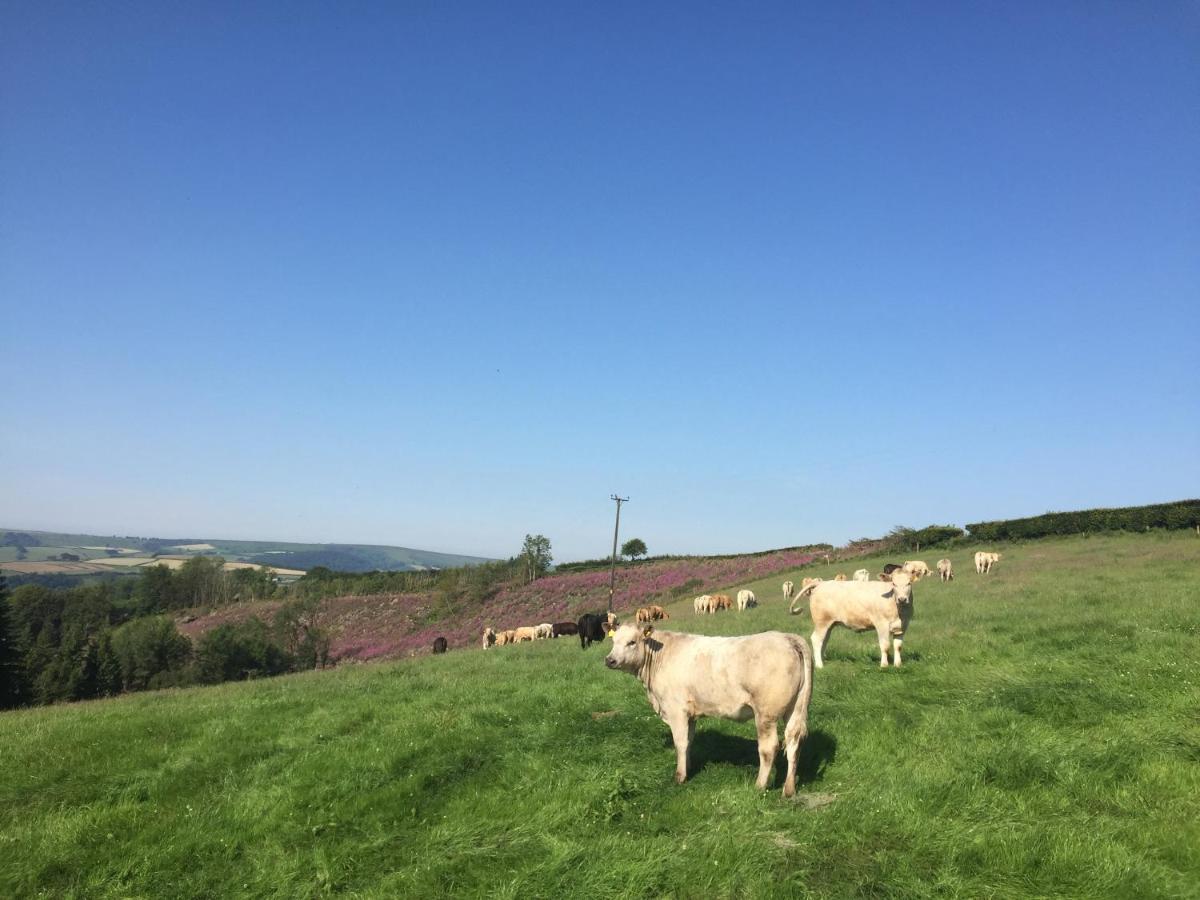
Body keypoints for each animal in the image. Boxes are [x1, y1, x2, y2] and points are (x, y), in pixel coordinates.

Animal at [604, 624, 811, 801]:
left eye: (632, 642)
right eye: (613, 641)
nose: (609, 660)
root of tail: (786, 637)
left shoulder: (676, 710)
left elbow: (680, 743)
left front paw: (680, 777)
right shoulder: (690, 714)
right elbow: (689, 741)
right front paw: (688, 767)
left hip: (766, 714)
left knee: (769, 747)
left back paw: (759, 785)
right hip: (795, 708)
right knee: (794, 742)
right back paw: (788, 789)